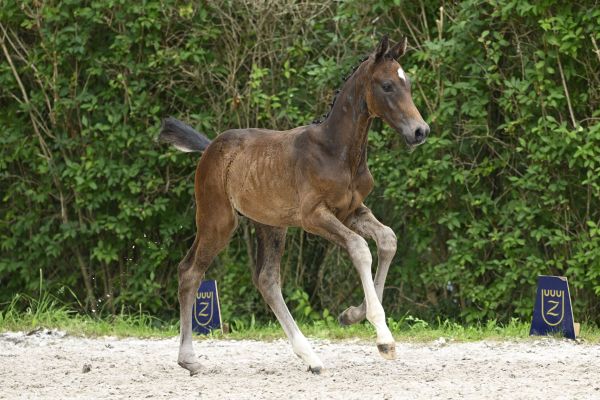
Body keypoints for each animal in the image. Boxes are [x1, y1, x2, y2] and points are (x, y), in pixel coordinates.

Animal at [159, 36, 428, 374]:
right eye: (387, 86)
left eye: (408, 84)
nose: (420, 131)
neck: (338, 151)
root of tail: (210, 149)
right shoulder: (314, 216)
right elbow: (359, 248)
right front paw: (384, 339)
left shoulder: (352, 211)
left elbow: (388, 240)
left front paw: (351, 314)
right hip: (217, 220)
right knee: (190, 271)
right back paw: (189, 359)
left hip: (271, 225)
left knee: (267, 280)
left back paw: (310, 357)